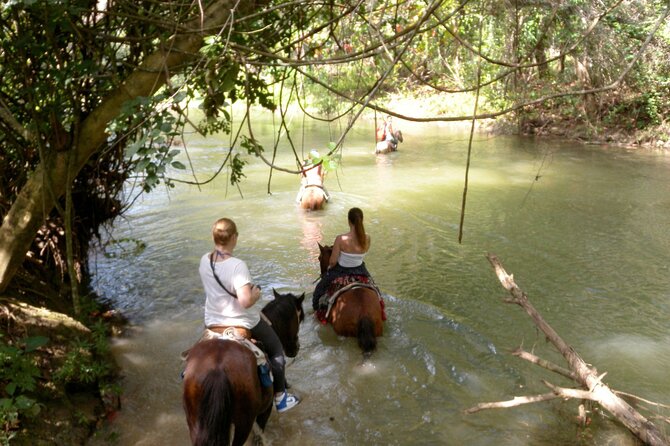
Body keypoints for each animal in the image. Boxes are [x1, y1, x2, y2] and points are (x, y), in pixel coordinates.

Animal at [182, 290, 306, 444]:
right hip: (243, 423)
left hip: (196, 422)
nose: (296, 348)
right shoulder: (265, 409)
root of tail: (217, 368)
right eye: (299, 318)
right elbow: (259, 433)